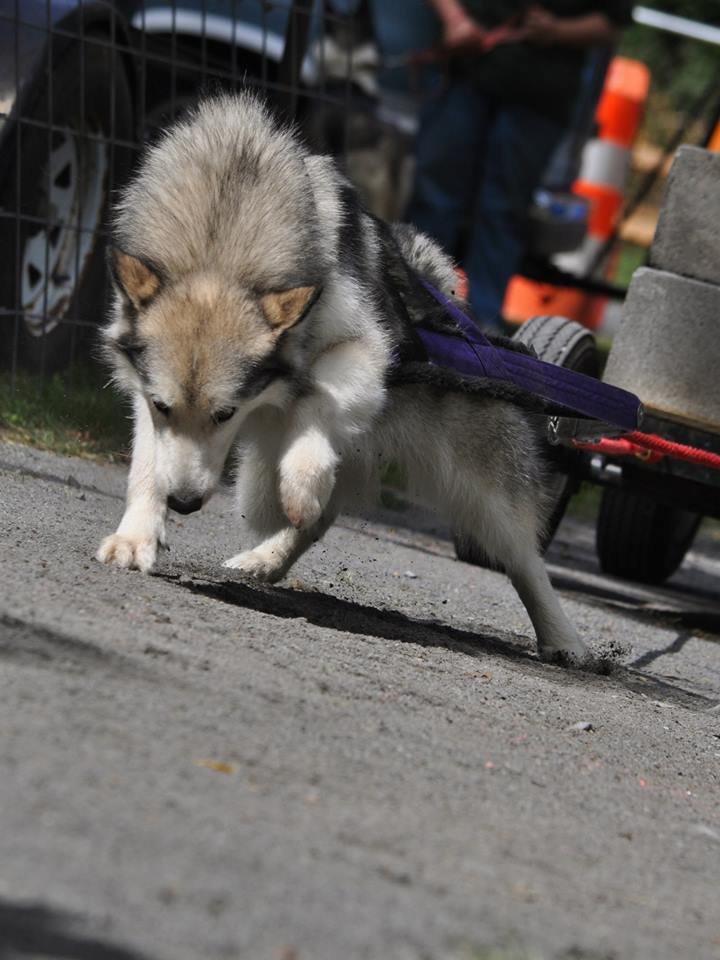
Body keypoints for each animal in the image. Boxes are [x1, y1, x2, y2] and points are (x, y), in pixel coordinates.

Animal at [97, 92, 592, 668]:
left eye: (225, 414)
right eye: (164, 407)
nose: (184, 504)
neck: (224, 229)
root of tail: (452, 302)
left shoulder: (365, 350)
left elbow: (316, 396)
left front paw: (303, 482)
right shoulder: (144, 390)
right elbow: (148, 464)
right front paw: (136, 537)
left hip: (485, 490)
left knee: (524, 557)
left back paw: (565, 640)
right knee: (315, 519)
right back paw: (266, 559)